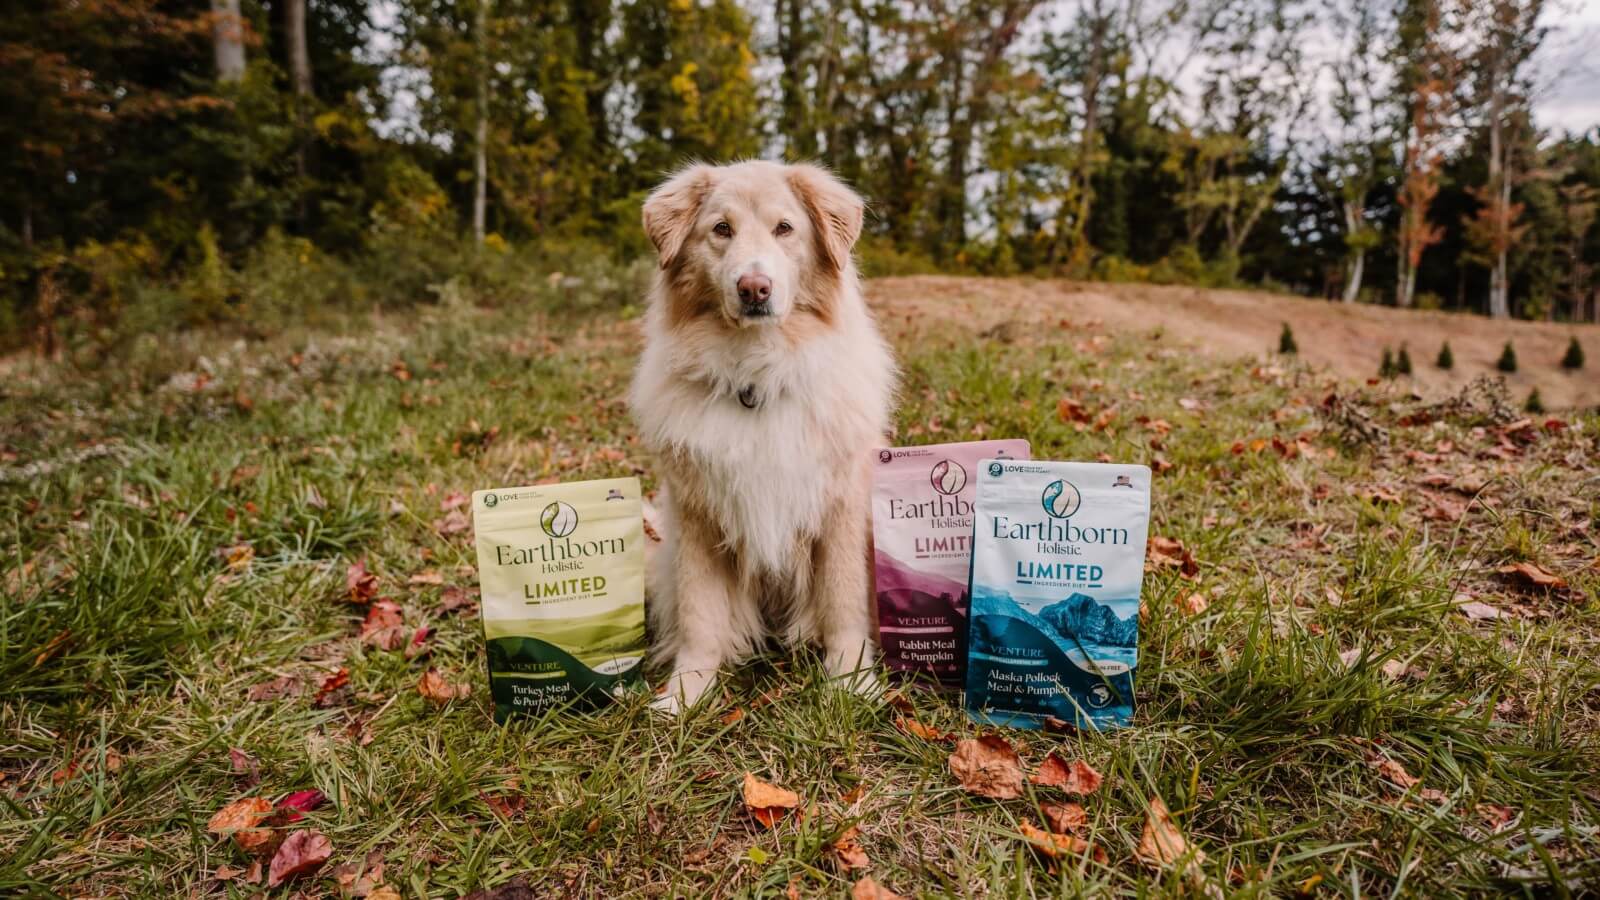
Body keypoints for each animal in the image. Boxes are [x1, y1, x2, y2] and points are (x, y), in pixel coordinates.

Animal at [627, 159, 902, 707]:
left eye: (784, 229)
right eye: (721, 230)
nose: (754, 288)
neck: (757, 380)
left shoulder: (840, 511)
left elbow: (843, 605)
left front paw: (851, 683)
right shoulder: (698, 518)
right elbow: (700, 617)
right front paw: (686, 694)